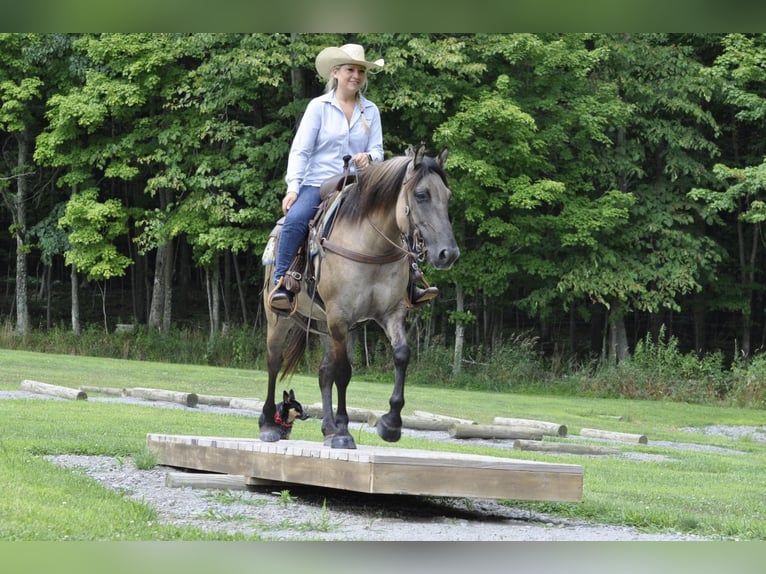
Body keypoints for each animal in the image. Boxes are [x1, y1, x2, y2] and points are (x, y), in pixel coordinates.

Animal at [258, 144, 462, 450]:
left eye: (447, 196)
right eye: (421, 194)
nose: (448, 254)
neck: (371, 246)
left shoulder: (389, 314)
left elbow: (401, 355)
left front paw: (390, 424)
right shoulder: (340, 317)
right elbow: (344, 372)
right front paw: (344, 431)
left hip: (324, 324)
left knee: (324, 371)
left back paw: (328, 429)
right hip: (279, 318)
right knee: (274, 362)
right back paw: (269, 424)